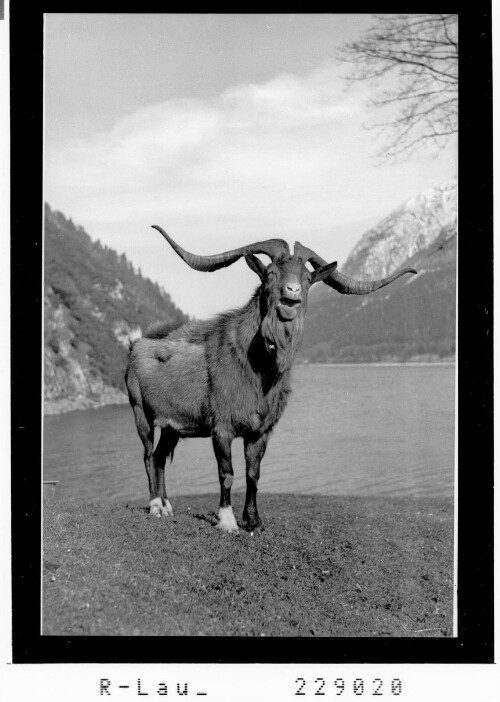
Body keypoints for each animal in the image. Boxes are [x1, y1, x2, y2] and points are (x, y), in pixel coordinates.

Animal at [124, 231, 414, 532]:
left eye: (307, 278)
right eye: (271, 273)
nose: (292, 293)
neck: (257, 369)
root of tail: (135, 346)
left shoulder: (260, 430)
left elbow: (253, 474)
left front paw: (254, 521)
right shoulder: (222, 427)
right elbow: (226, 472)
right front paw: (227, 521)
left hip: (172, 426)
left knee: (160, 457)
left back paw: (167, 506)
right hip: (140, 410)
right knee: (148, 454)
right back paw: (155, 506)